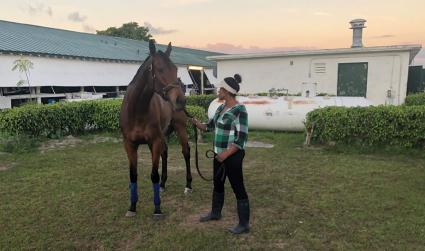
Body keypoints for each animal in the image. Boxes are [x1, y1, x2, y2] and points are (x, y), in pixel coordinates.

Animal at [120, 40, 191, 217]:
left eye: (176, 69)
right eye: (160, 69)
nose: (180, 100)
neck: (137, 110)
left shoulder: (154, 142)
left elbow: (153, 175)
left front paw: (157, 208)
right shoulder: (129, 144)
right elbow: (133, 175)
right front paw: (132, 207)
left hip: (180, 128)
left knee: (186, 152)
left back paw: (188, 185)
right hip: (164, 133)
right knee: (165, 153)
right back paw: (163, 185)